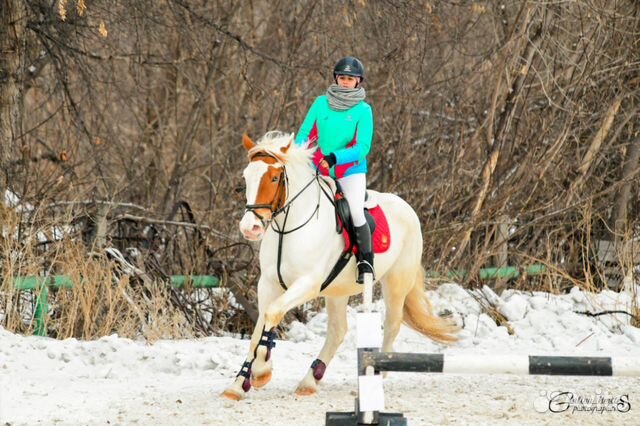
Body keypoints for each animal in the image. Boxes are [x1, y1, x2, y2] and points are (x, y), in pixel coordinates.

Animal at [222, 131, 458, 402]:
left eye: (273, 177)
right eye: (246, 176)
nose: (250, 228)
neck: (288, 227)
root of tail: (407, 207)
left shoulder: (308, 284)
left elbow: (272, 314)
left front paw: (261, 371)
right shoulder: (268, 284)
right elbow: (258, 329)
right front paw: (238, 384)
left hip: (395, 283)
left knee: (392, 324)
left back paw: (377, 375)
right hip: (337, 290)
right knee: (337, 331)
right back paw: (309, 381)